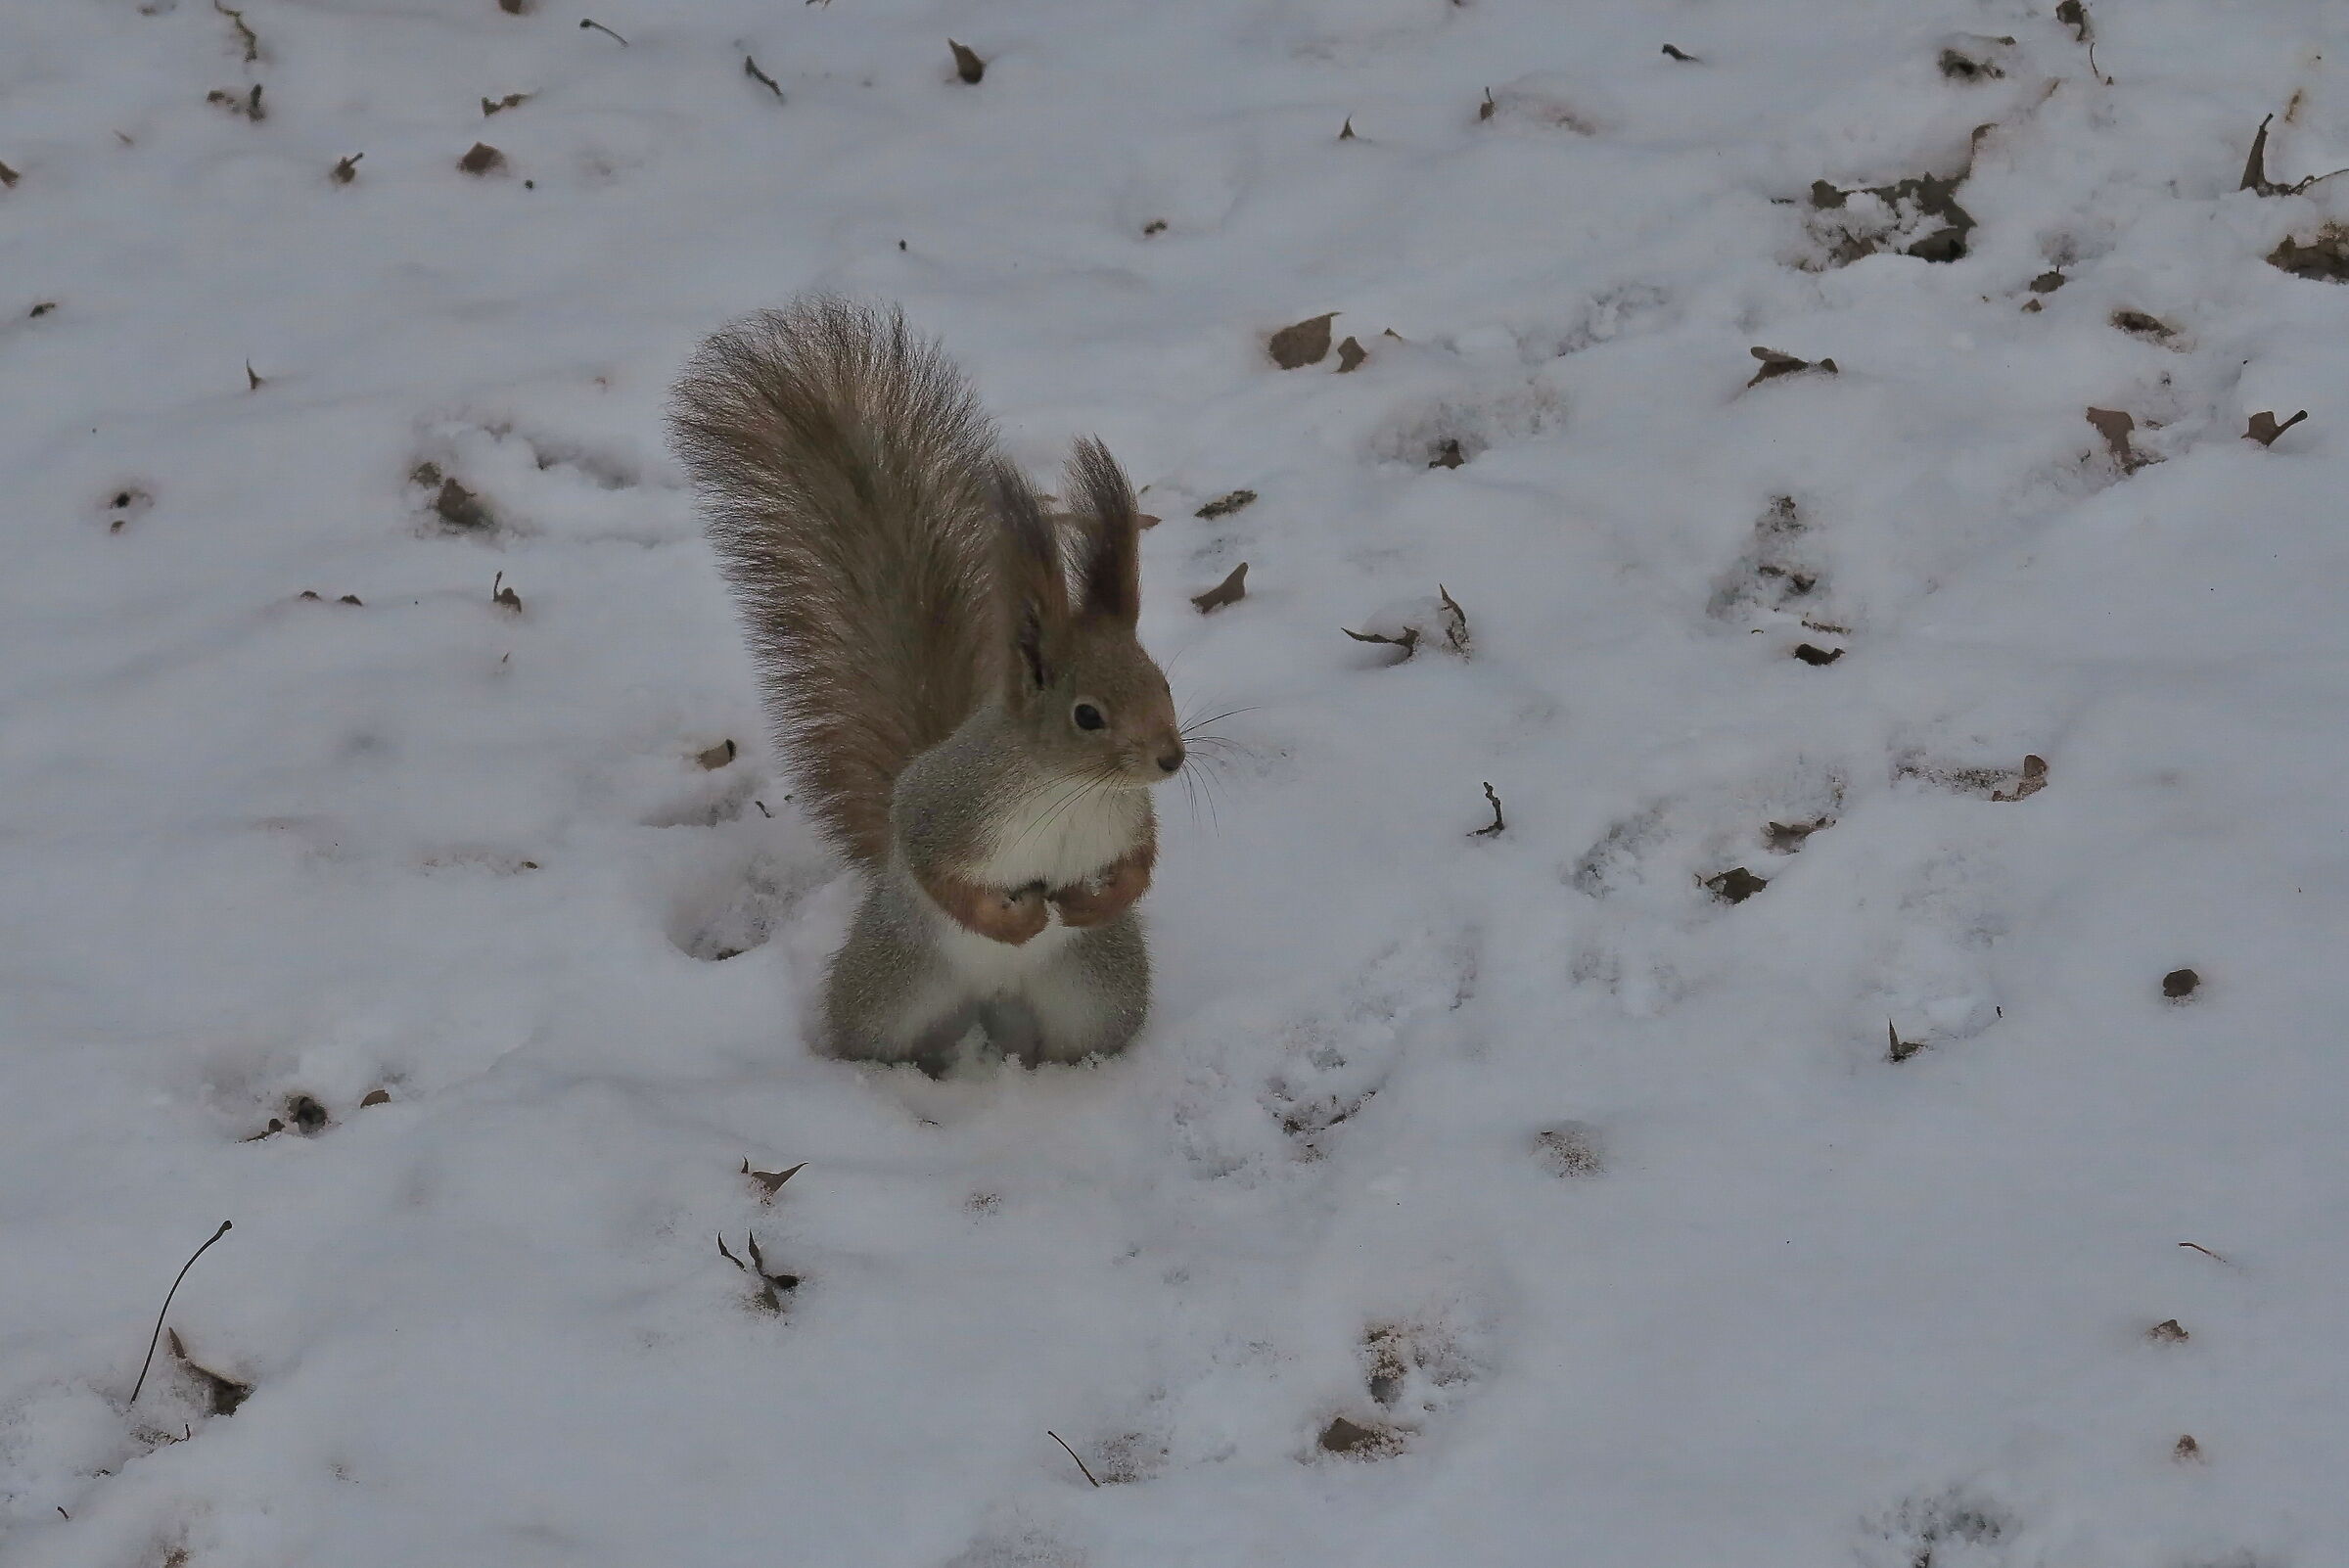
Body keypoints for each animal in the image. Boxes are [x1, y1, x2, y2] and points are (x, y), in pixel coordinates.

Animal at [667, 296, 1186, 1070]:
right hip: (891, 986)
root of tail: (990, 1005)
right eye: (1087, 715)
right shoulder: (947, 805)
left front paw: (1097, 899)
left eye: (1164, 686)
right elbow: (930, 860)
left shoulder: (1128, 818)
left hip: (1099, 988)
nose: (1170, 759)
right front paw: (1010, 921)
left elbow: (1141, 862)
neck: (1070, 789)